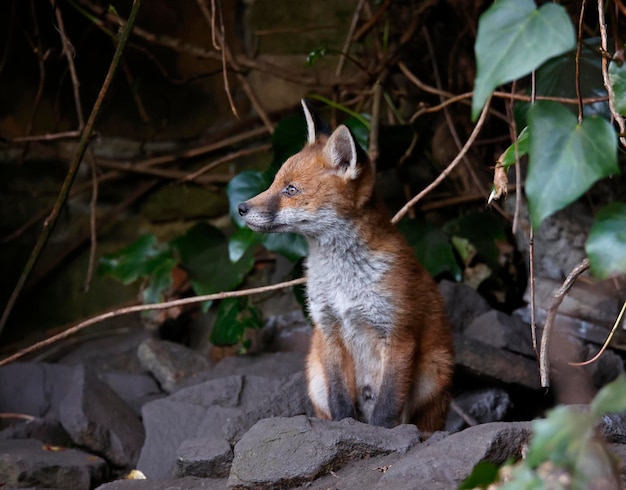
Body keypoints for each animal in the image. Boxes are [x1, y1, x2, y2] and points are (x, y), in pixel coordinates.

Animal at [236, 101, 450, 430]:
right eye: (273, 183)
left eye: (291, 190)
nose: (241, 208)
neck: (343, 284)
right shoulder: (328, 329)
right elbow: (339, 399)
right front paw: (343, 427)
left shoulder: (398, 332)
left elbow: (388, 409)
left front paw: (380, 434)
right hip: (314, 374)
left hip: (433, 370)